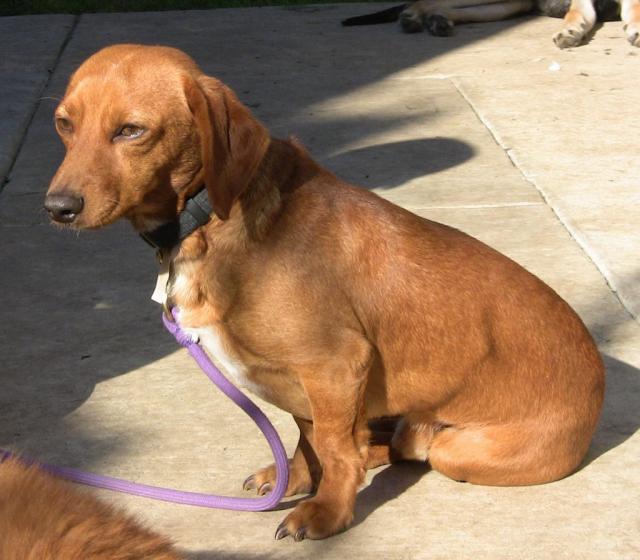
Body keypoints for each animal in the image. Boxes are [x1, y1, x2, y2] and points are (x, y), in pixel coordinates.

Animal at [44, 44, 604, 541]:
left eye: (131, 130)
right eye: (64, 124)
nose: (57, 208)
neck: (209, 223)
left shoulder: (335, 364)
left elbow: (333, 448)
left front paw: (328, 511)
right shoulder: (305, 383)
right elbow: (308, 440)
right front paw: (298, 480)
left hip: (457, 449)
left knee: (410, 448)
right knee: (392, 442)